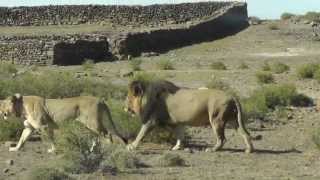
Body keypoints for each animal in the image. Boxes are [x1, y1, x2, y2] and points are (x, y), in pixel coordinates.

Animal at [124, 80, 255, 153]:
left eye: (128, 99)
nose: (124, 107)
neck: (147, 98)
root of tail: (232, 96)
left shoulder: (151, 121)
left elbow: (141, 134)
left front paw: (132, 146)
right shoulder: (176, 123)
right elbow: (179, 135)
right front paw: (177, 147)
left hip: (216, 119)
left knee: (222, 139)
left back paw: (212, 149)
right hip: (233, 120)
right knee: (245, 133)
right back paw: (249, 150)